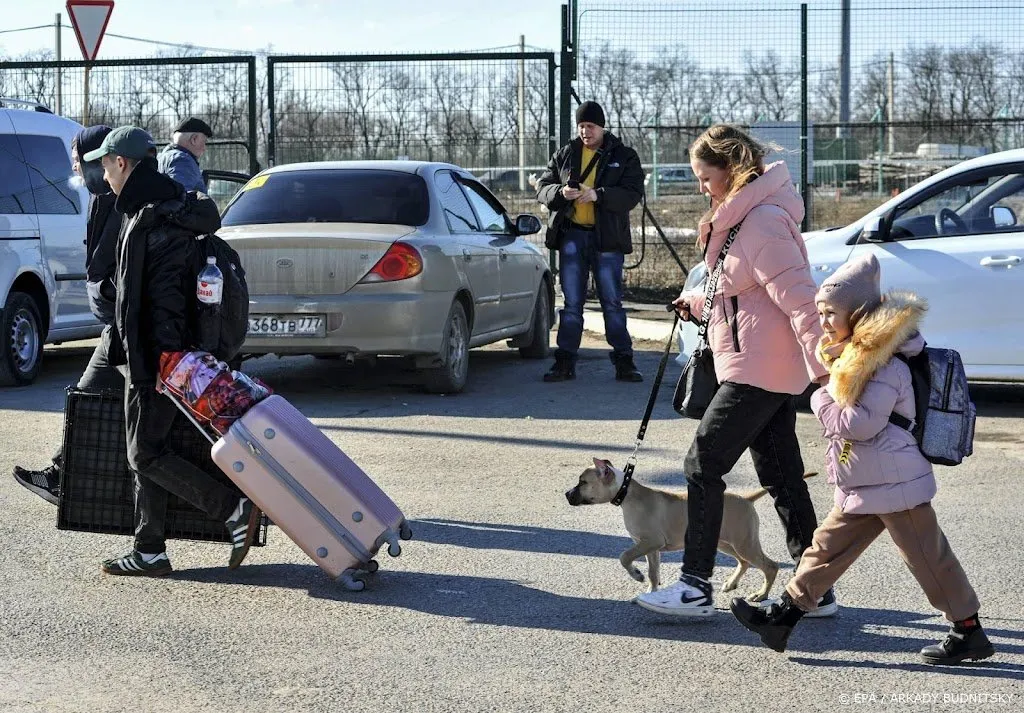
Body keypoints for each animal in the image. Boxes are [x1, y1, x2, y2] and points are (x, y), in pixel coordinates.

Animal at [569, 456, 815, 602]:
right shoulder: (651, 548)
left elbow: (624, 557)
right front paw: (651, 591)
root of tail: (746, 498)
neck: (627, 493)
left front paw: (637, 575)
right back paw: (731, 583)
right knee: (744, 562)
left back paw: (761, 595)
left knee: (770, 566)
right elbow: (653, 572)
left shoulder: (649, 542)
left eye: (583, 482)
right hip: (726, 543)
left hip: (744, 543)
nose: (566, 494)